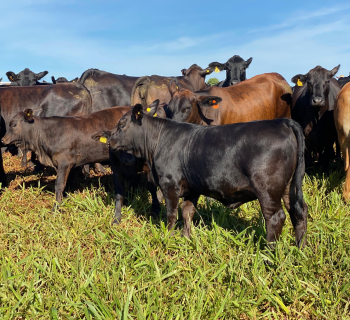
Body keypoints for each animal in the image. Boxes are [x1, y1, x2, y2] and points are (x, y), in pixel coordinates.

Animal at [102, 106, 308, 249]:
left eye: (122, 124)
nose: (109, 140)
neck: (158, 140)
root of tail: (283, 122)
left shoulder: (169, 184)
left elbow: (171, 214)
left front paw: (168, 237)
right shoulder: (192, 188)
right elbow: (187, 212)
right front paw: (186, 238)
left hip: (268, 189)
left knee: (275, 217)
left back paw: (269, 253)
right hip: (289, 187)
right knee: (299, 211)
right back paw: (300, 248)